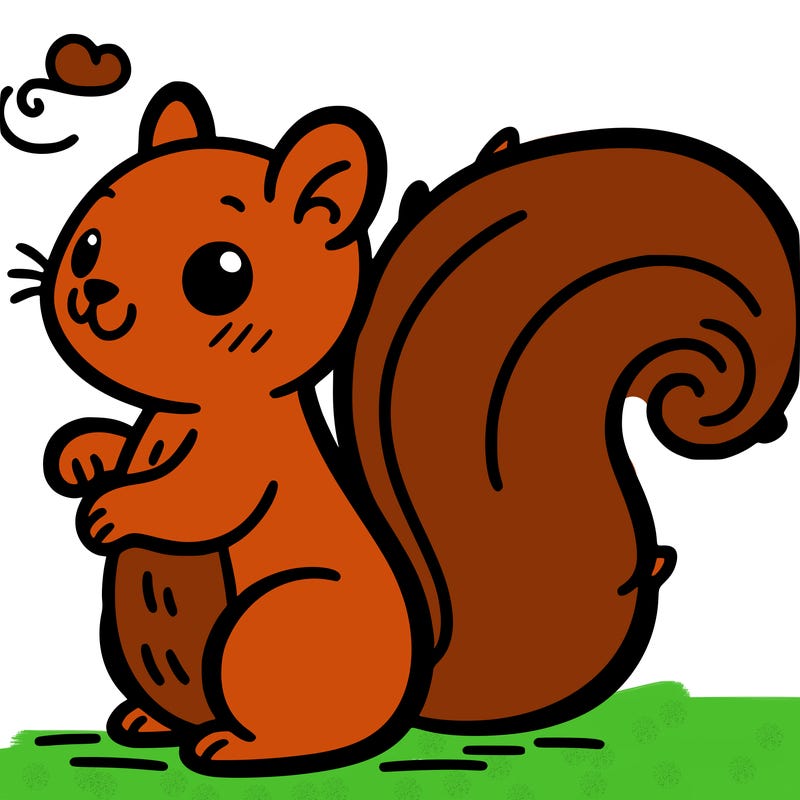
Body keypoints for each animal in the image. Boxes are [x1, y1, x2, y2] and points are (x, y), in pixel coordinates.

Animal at [11, 81, 797, 777]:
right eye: (87, 243)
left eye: (221, 273)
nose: (90, 293)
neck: (191, 410)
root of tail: (410, 687)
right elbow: (116, 444)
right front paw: (82, 459)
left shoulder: (250, 467)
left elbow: (204, 503)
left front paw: (114, 511)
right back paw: (146, 723)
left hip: (272, 622)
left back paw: (241, 749)